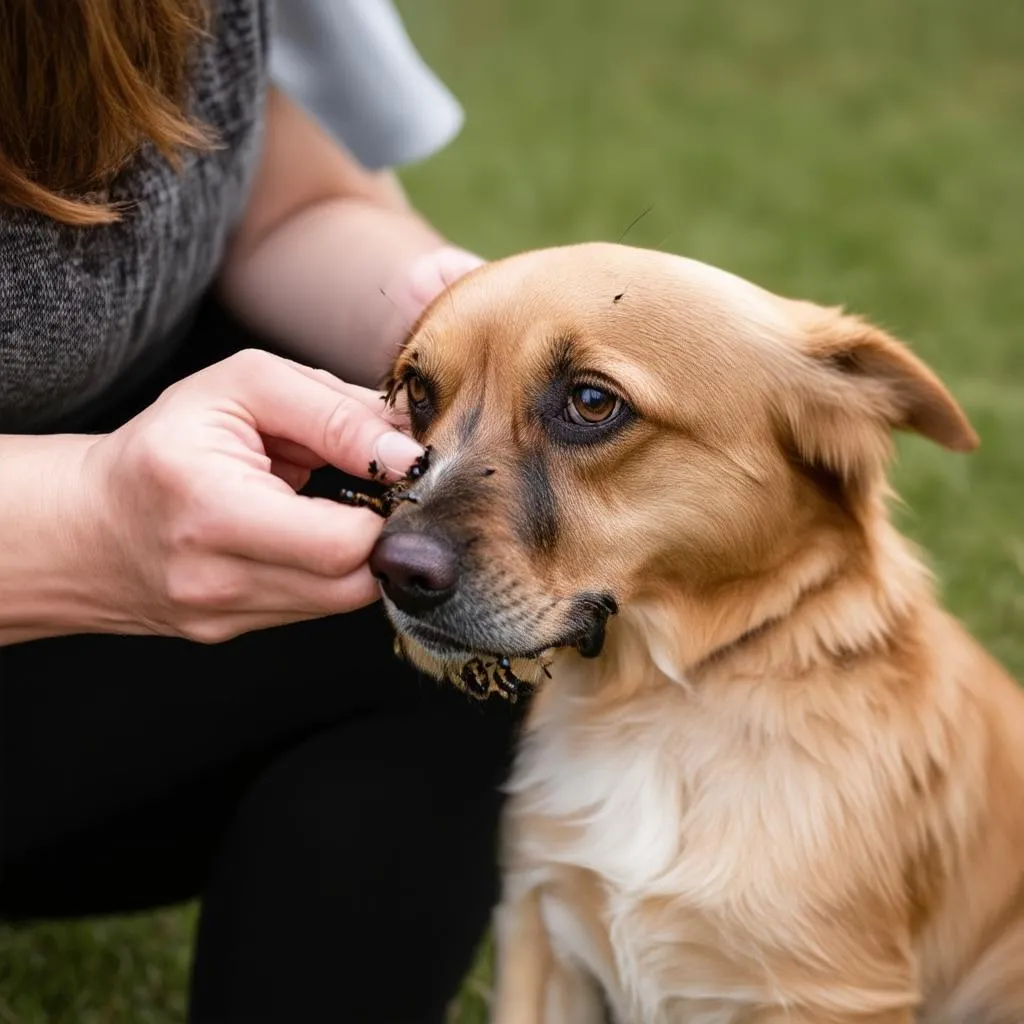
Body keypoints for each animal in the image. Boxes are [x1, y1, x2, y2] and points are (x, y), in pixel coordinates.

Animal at [368, 243, 1024, 1019]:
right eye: (417, 390)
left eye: (592, 403)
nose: (395, 571)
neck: (656, 703)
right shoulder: (540, 926)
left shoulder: (832, 990)